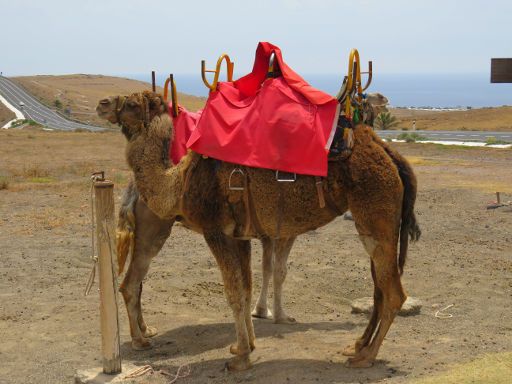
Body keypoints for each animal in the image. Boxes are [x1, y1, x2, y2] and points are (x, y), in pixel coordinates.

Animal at [96, 91, 420, 370]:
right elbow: (247, 287)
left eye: (132, 103)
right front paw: (246, 345)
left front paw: (240, 357)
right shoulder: (239, 236)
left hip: (375, 215)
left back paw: (365, 355)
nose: (103, 103)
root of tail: (389, 154)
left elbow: (235, 291)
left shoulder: (217, 231)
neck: (177, 180)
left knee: (392, 292)